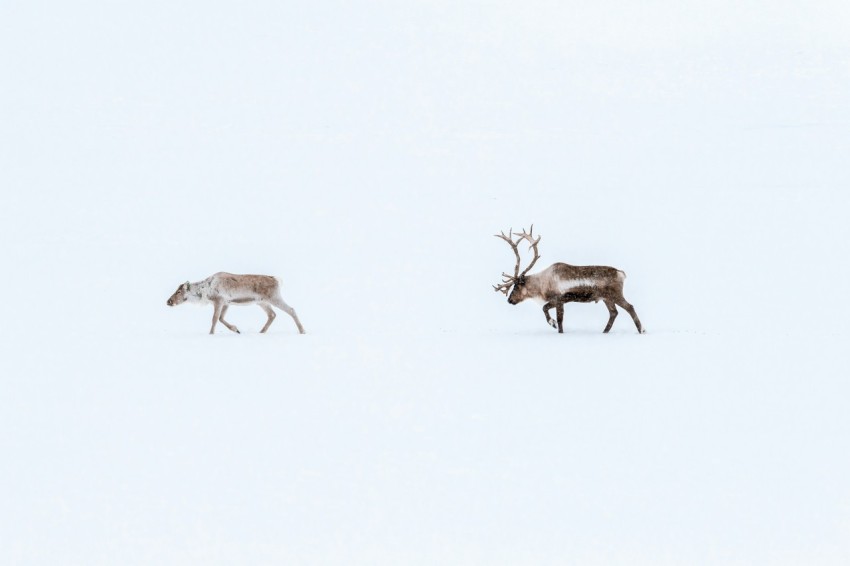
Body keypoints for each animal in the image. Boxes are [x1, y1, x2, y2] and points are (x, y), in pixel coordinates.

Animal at [166, 272, 305, 335]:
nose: (168, 301)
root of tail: (277, 280)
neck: (205, 291)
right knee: (272, 314)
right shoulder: (226, 302)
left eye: (179, 291)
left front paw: (211, 334)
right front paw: (236, 329)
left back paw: (302, 331)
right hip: (262, 302)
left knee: (291, 309)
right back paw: (261, 332)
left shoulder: (219, 300)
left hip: (274, 298)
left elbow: (215, 319)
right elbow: (221, 318)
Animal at [493, 227, 644, 334]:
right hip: (606, 298)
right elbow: (549, 311)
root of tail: (621, 273)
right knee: (614, 313)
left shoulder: (559, 299)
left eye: (516, 286)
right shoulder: (560, 301)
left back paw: (641, 330)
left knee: (629, 307)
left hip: (615, 294)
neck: (541, 284)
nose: (509, 300)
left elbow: (554, 315)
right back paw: (604, 332)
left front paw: (554, 325)